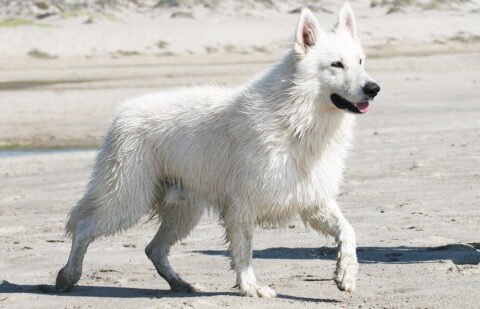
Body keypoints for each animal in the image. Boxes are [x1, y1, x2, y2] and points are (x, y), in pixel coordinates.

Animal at [56, 2, 378, 296]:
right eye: (336, 65)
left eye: (361, 61)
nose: (373, 88)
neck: (296, 118)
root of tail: (122, 112)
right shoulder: (242, 203)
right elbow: (244, 252)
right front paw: (250, 288)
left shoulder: (312, 199)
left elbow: (348, 231)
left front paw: (346, 274)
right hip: (127, 199)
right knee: (84, 227)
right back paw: (68, 276)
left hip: (183, 211)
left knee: (153, 249)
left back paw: (181, 284)